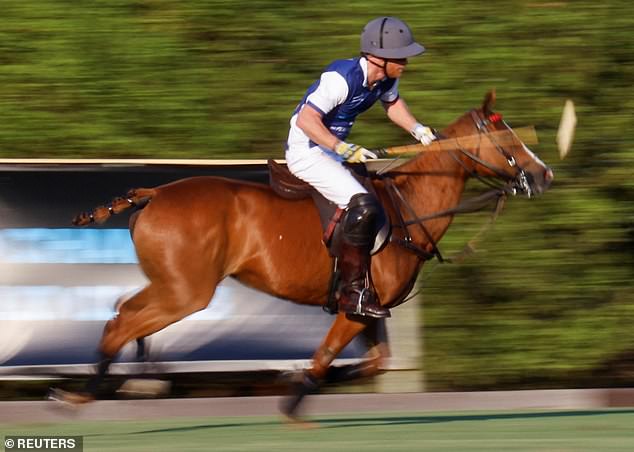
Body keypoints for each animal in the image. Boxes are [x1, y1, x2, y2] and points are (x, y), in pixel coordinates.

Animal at [60, 90, 552, 418]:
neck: (409, 204)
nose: (543, 175)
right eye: (507, 141)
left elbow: (370, 362)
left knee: (121, 310)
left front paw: (294, 379)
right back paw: (83, 391)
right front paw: (295, 397)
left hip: (170, 284)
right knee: (121, 321)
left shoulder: (368, 310)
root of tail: (154, 192)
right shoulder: (356, 308)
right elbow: (328, 355)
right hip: (188, 291)